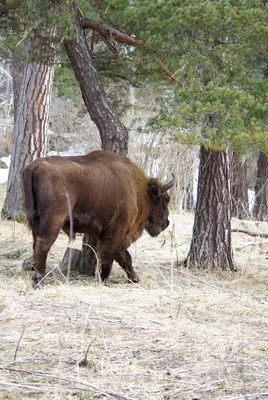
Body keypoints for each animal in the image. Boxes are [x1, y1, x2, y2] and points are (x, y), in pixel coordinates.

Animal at [22, 148, 175, 286]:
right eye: (165, 199)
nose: (166, 222)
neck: (137, 190)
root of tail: (36, 166)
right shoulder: (116, 231)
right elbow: (110, 256)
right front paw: (103, 279)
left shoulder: (109, 234)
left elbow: (124, 256)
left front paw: (134, 278)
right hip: (54, 220)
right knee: (43, 244)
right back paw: (39, 282)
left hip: (35, 220)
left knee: (35, 243)